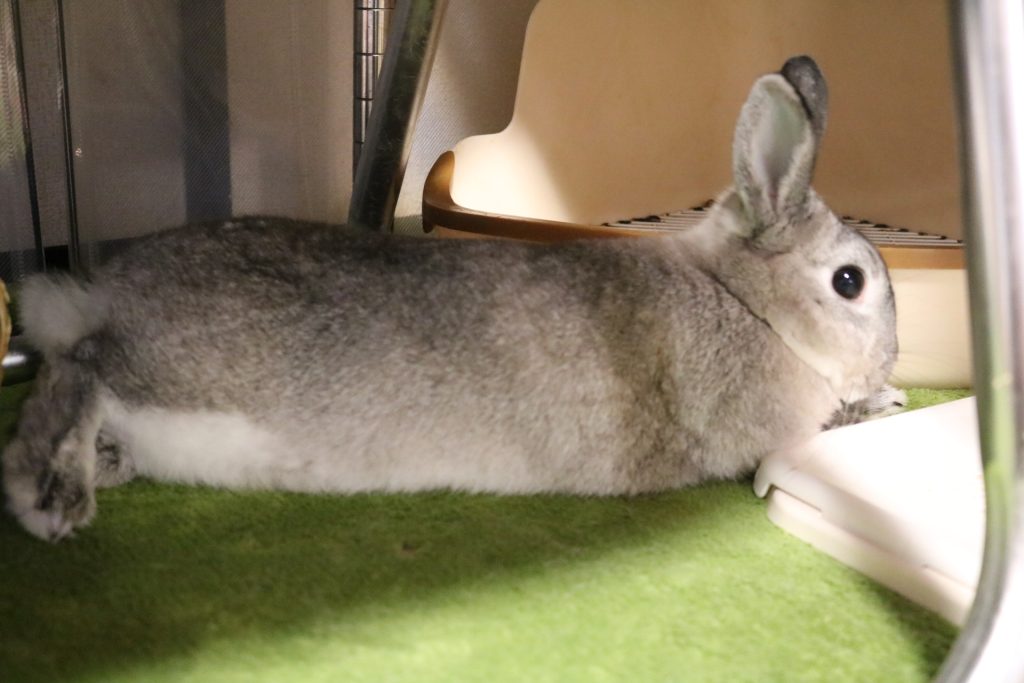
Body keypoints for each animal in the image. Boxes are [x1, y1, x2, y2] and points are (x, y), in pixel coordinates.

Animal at [3, 55, 899, 542]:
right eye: (849, 282)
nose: (889, 362)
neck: (745, 302)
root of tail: (100, 292)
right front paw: (882, 403)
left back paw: (97, 468)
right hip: (174, 366)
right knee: (77, 371)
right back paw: (51, 495)